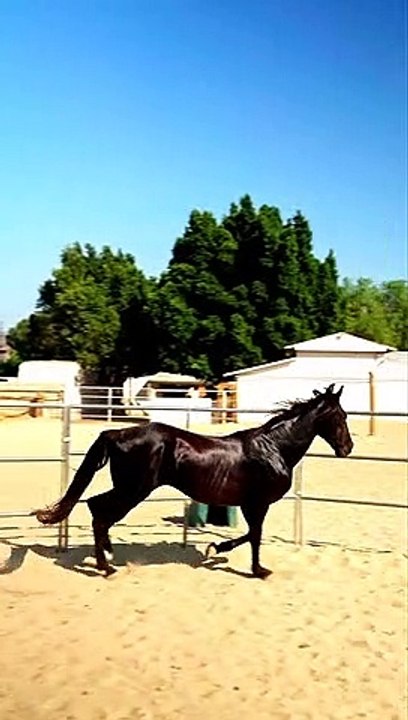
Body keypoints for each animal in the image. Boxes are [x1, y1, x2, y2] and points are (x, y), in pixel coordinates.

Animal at [34, 384, 353, 578]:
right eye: (341, 415)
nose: (348, 448)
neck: (273, 448)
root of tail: (114, 433)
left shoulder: (250, 504)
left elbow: (252, 534)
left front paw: (218, 550)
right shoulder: (257, 503)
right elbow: (255, 535)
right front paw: (255, 568)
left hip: (127, 488)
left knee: (94, 506)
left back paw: (107, 556)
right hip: (134, 490)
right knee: (99, 512)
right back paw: (106, 566)